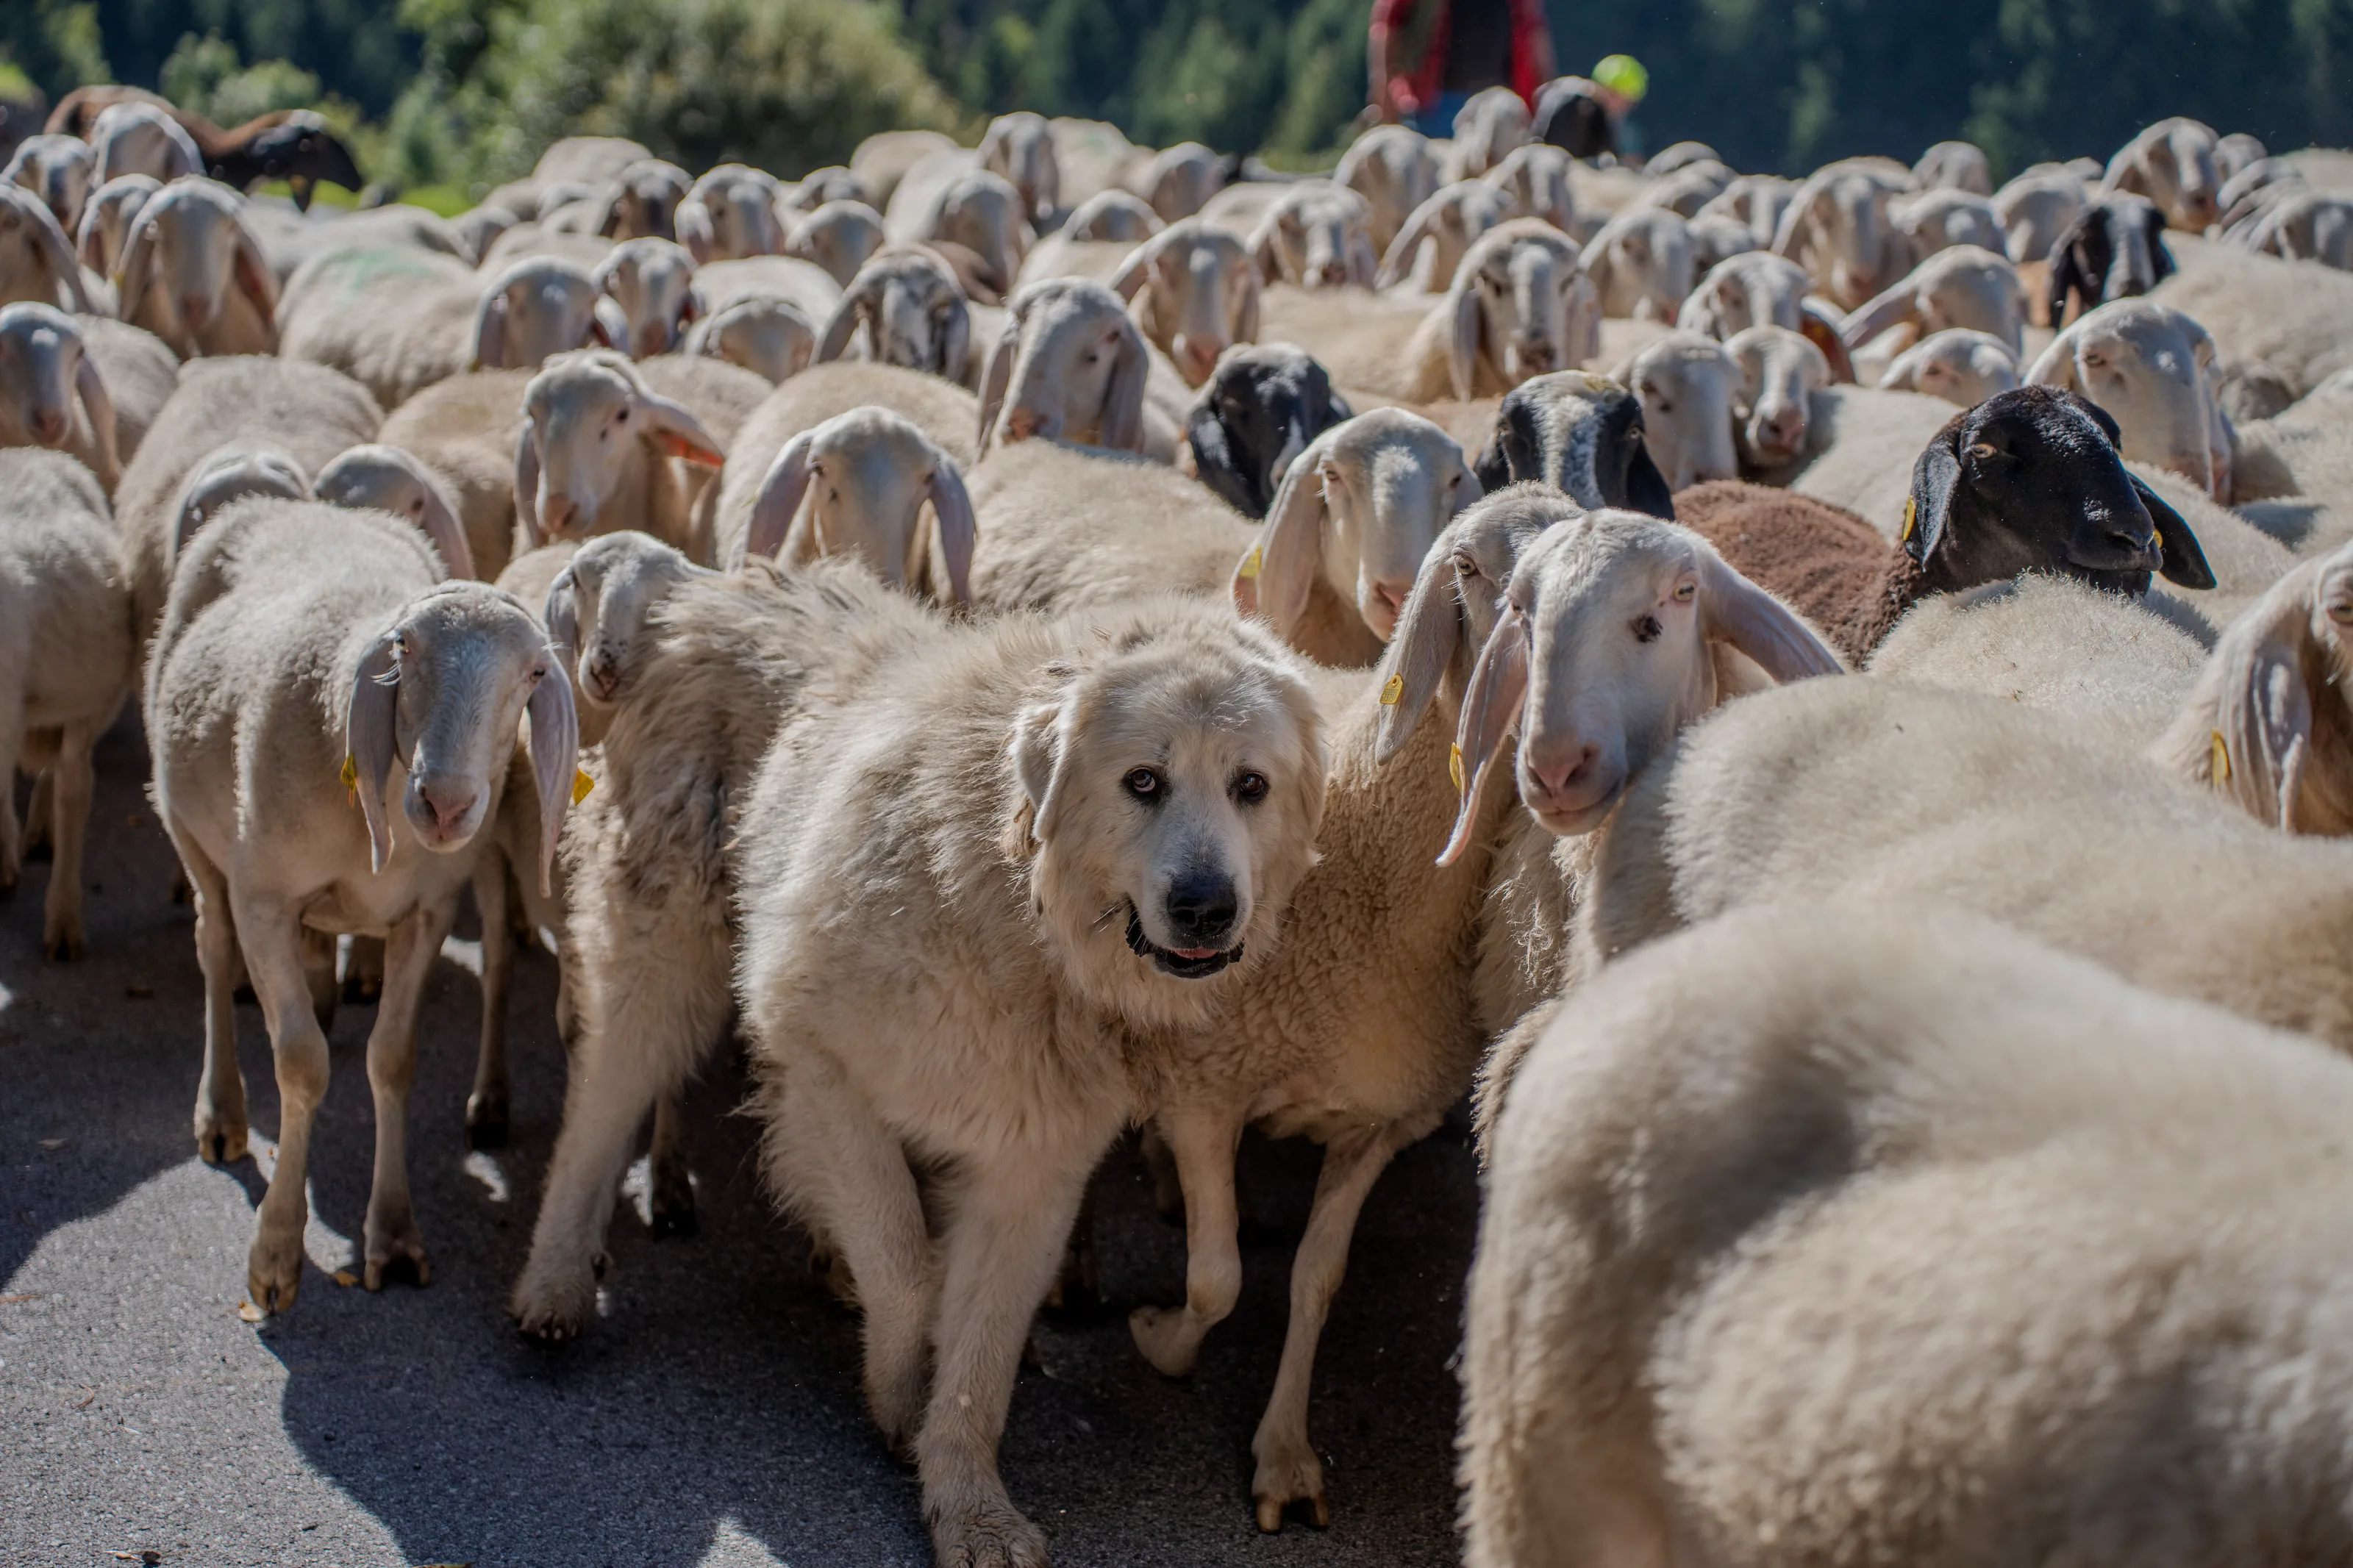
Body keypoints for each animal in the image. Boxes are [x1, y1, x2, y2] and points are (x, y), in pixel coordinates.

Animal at [148, 498, 577, 1312]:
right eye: (404, 649)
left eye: (536, 672)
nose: (446, 804)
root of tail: (296, 503)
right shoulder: (264, 901)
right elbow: (301, 1064)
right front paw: (276, 1251)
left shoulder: (429, 913)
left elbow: (393, 1059)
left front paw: (395, 1234)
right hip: (190, 833)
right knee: (212, 950)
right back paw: (222, 1110)